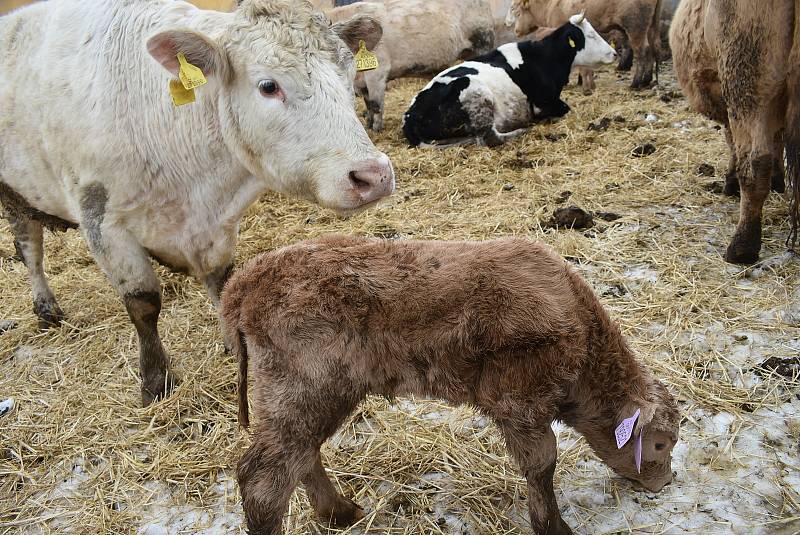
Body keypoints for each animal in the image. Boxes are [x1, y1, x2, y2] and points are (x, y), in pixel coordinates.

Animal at [0, 0, 394, 406]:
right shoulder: (103, 221)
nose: (374, 175)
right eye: (268, 85)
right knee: (30, 252)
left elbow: (222, 284)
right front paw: (156, 381)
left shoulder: (218, 225)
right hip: (14, 196)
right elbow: (143, 303)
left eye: (350, 74)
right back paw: (46, 309)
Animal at [222, 236, 680, 535]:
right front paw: (554, 527)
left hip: (312, 396)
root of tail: (245, 282)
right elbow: (542, 463)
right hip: (302, 388)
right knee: (264, 481)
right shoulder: (520, 400)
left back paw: (340, 513)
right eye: (659, 444)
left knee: (301, 458)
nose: (666, 482)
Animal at [404, 14, 616, 149]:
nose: (614, 53)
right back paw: (522, 130)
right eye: (590, 35)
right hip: (476, 95)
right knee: (489, 138)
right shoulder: (543, 103)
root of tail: (410, 115)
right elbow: (565, 109)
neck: (543, 59)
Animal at [510, 0, 660, 91]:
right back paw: (647, 80)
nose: (516, 31)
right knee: (653, 48)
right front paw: (581, 81)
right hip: (651, 25)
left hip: (635, 26)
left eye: (517, 13)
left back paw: (636, 83)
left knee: (642, 51)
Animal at [668, 0, 800, 264]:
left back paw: (741, 247)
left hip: (745, 80)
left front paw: (730, 183)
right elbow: (776, 140)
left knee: (754, 164)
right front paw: (777, 181)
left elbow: (732, 144)